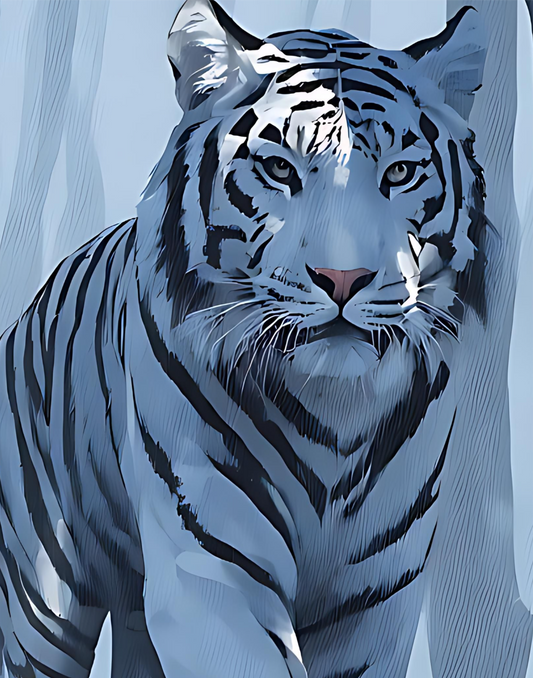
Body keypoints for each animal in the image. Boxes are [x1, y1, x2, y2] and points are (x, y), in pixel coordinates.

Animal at [0, 1, 527, 677]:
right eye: (280, 168)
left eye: (400, 173)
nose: (343, 278)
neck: (338, 408)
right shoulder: (212, 559)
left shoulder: (378, 598)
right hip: (43, 597)